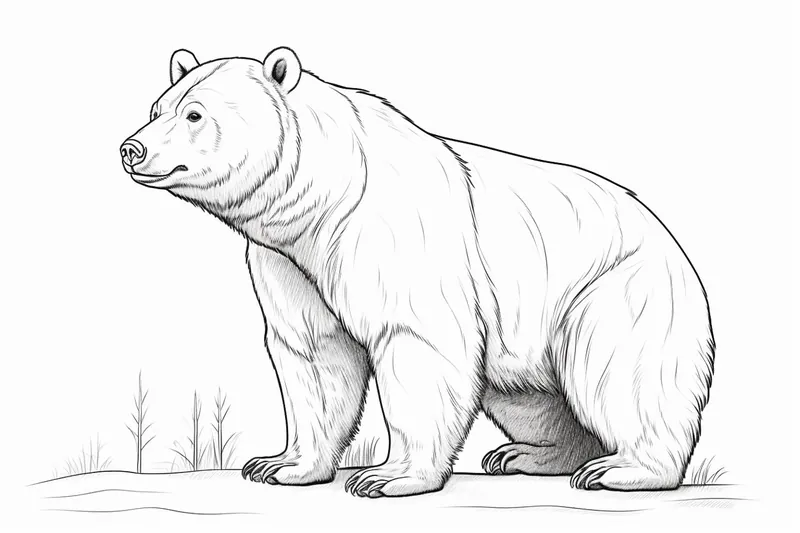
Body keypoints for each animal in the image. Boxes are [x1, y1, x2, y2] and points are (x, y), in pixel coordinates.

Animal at [120, 46, 715, 498]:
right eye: (157, 106)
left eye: (194, 114)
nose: (132, 148)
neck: (324, 201)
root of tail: (677, 250)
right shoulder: (287, 261)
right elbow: (312, 353)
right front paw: (280, 465)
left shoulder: (393, 237)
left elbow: (417, 341)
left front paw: (385, 477)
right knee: (527, 394)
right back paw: (524, 453)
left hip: (615, 291)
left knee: (623, 373)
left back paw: (623, 468)